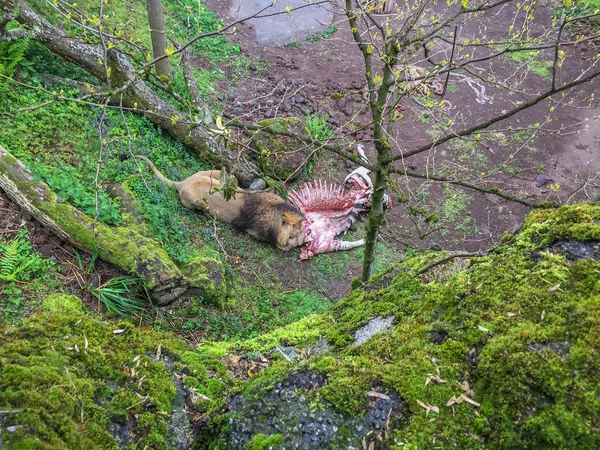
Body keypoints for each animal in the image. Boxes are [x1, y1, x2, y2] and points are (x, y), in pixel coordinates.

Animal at [134, 156, 308, 251]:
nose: (306, 238)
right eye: (295, 233)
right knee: (201, 208)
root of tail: (183, 182)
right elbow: (277, 243)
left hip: (219, 173)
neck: (275, 211)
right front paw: (288, 245)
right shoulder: (254, 233)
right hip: (197, 200)